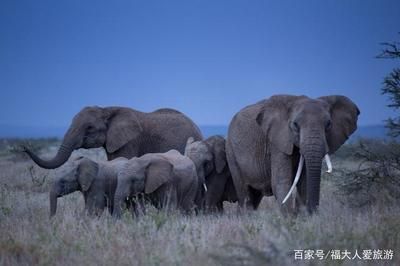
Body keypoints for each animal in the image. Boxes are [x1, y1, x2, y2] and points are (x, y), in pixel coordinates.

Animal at [227, 94, 360, 215]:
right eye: (295, 125)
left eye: (328, 124)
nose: (312, 212)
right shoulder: (278, 141)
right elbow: (281, 182)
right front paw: (290, 219)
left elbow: (304, 182)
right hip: (231, 153)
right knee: (245, 195)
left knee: (254, 197)